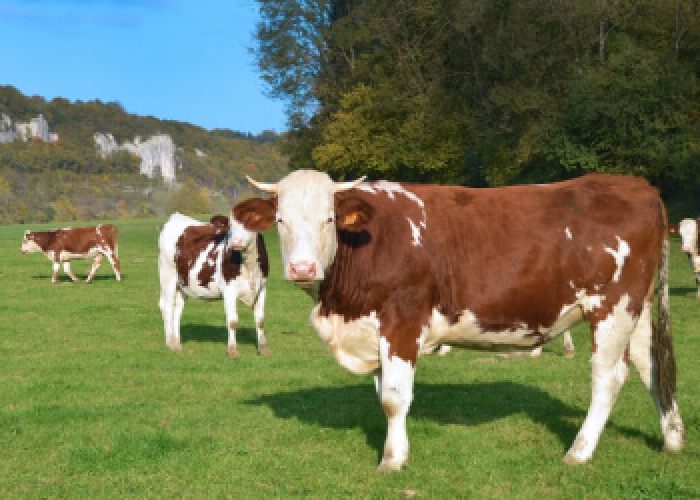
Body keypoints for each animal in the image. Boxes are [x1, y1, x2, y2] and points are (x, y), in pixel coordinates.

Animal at [157, 212, 269, 358]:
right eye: (231, 225)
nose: (235, 242)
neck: (249, 265)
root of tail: (176, 216)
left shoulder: (262, 288)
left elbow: (260, 320)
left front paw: (263, 349)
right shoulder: (229, 290)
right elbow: (232, 321)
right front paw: (232, 350)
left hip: (183, 284)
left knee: (177, 309)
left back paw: (176, 343)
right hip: (167, 276)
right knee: (167, 306)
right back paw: (170, 343)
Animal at [234, 169, 685, 471]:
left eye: (328, 218)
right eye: (280, 220)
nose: (303, 268)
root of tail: (636, 185)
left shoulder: (402, 320)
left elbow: (394, 398)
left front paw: (392, 460)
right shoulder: (372, 331)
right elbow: (383, 396)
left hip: (613, 306)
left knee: (608, 376)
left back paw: (579, 450)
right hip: (636, 309)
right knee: (651, 363)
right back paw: (672, 439)